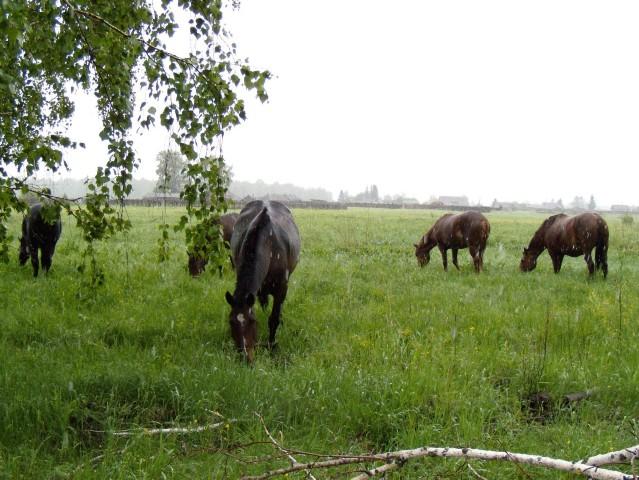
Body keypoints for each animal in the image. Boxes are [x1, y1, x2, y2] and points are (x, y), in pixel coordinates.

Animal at [225, 200, 300, 364]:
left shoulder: (281, 288)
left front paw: (271, 346)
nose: (246, 358)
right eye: (231, 322)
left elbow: (274, 319)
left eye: (252, 321)